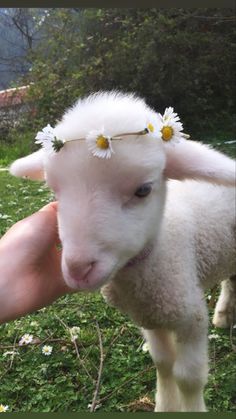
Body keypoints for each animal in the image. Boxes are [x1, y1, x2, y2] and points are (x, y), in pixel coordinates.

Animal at [10, 92, 235, 414]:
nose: (78, 268)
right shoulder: (149, 317)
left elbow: (188, 377)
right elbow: (163, 363)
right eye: (55, 191)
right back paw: (224, 314)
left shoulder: (190, 317)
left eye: (143, 190)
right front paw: (165, 406)